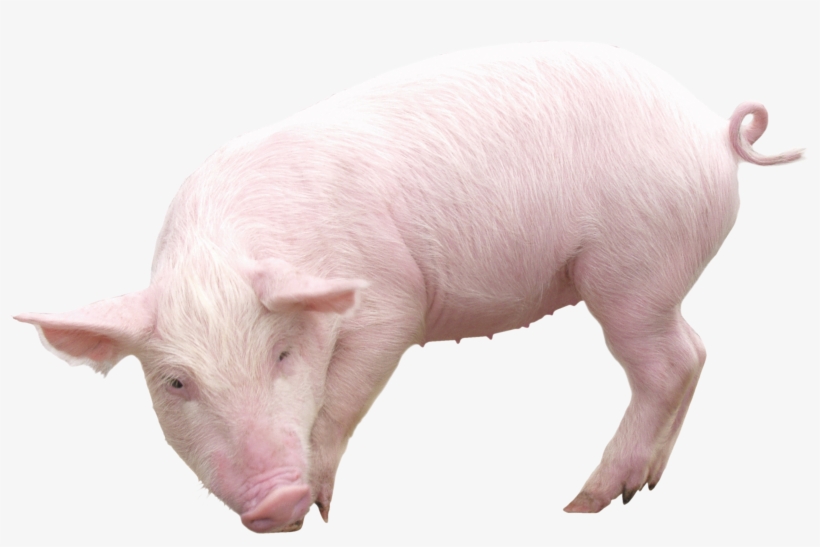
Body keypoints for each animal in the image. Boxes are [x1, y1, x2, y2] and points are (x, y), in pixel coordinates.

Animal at [14, 42, 803, 532]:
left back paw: (582, 504)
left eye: (282, 355)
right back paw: (646, 487)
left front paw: (320, 508)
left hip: (631, 269)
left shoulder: (391, 301)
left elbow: (342, 395)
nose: (274, 497)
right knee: (696, 350)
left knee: (666, 362)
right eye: (176, 383)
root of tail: (713, 131)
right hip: (659, 280)